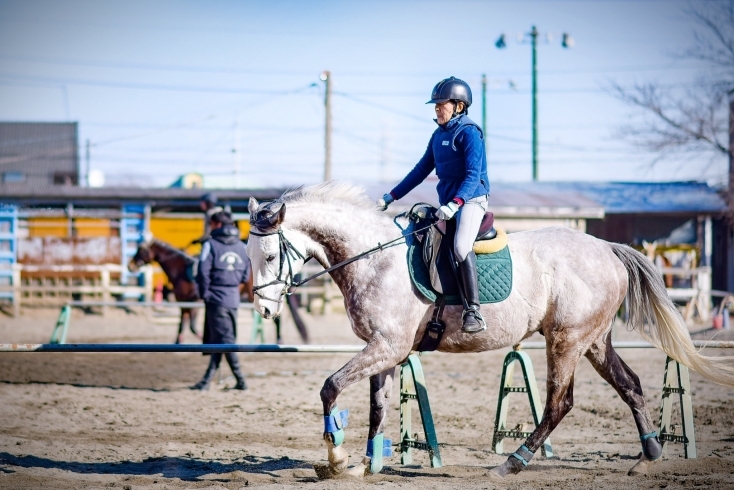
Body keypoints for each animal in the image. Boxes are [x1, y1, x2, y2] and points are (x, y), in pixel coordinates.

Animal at [247, 183, 734, 478]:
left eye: (270, 256)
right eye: (251, 256)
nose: (265, 310)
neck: (373, 256)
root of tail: (608, 248)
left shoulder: (387, 346)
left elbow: (331, 387)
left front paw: (335, 456)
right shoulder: (384, 349)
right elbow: (378, 408)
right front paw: (368, 464)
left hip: (566, 341)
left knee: (559, 403)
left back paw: (514, 462)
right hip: (594, 341)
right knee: (629, 384)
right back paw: (648, 457)